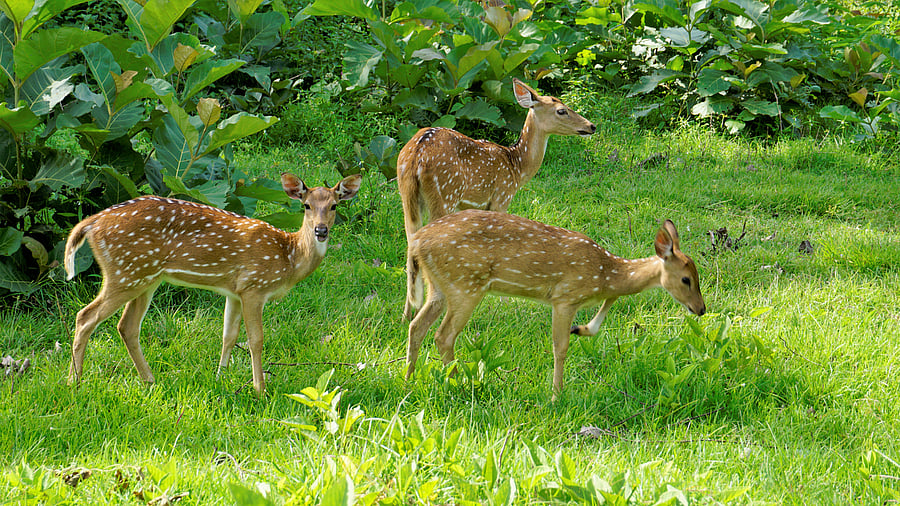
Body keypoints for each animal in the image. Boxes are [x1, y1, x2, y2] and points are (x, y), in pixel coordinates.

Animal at [63, 172, 362, 397]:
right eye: (306, 205)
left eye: (334, 205)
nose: (321, 230)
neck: (288, 257)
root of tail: (91, 223)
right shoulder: (254, 286)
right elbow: (256, 339)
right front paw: (260, 389)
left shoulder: (235, 291)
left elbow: (228, 335)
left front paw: (221, 377)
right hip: (125, 273)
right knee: (85, 316)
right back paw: (74, 383)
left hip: (145, 277)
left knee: (126, 326)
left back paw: (149, 380)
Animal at [397, 78, 596, 320]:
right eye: (561, 110)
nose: (591, 126)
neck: (516, 167)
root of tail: (415, 155)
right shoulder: (501, 197)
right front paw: (505, 302)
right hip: (444, 193)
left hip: (407, 196)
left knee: (411, 241)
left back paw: (408, 313)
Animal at [403, 210, 706, 400]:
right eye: (686, 279)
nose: (701, 309)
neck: (605, 272)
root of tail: (415, 243)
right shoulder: (565, 297)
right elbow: (560, 348)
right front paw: (556, 395)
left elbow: (601, 315)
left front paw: (581, 329)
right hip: (466, 284)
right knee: (443, 335)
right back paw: (459, 383)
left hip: (439, 286)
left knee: (417, 326)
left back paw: (408, 381)